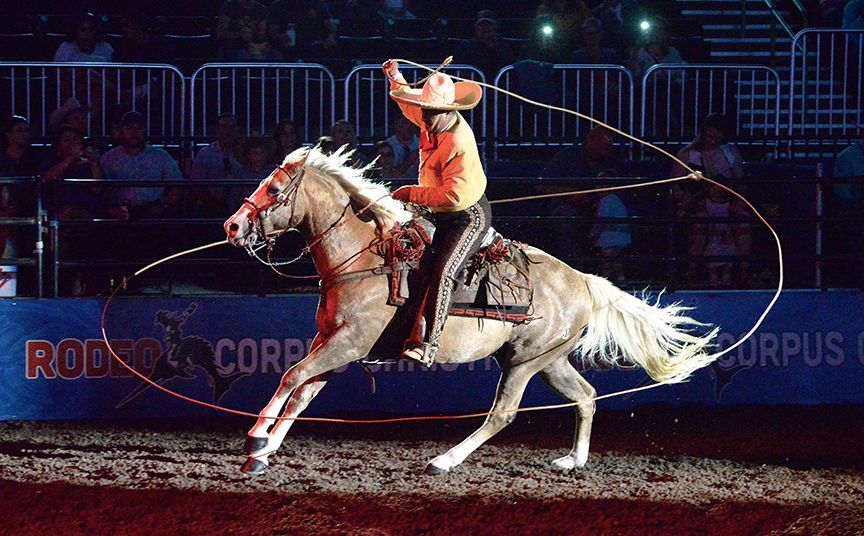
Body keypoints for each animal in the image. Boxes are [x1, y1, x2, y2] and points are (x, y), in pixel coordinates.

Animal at [223, 146, 719, 475]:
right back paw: (572, 460)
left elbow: (292, 378)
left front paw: (257, 438)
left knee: (502, 415)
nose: (232, 225)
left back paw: (444, 460)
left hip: (523, 363)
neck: (365, 257)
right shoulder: (331, 343)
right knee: (585, 396)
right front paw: (263, 451)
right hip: (547, 359)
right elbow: (301, 390)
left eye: (273, 188)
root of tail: (583, 281)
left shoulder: (347, 344)